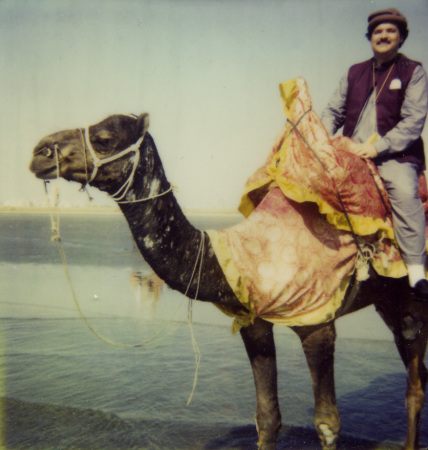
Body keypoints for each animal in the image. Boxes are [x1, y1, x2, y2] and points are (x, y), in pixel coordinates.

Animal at [30, 113, 428, 450]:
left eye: (104, 138)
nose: (40, 152)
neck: (241, 254)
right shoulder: (254, 322)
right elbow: (267, 418)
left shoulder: (318, 324)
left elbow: (328, 424)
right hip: (386, 299)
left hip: (410, 297)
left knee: (414, 386)